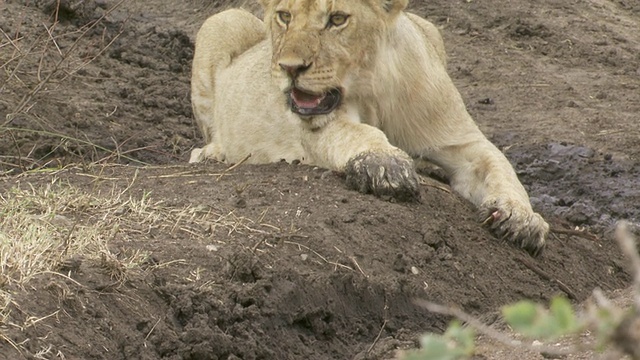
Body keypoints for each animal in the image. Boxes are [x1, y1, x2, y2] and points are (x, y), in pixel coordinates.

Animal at [189, 0, 552, 256]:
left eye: (337, 19)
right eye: (284, 16)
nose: (289, 68)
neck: (375, 89)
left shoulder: (462, 140)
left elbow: (501, 167)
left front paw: (521, 218)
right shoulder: (319, 124)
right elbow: (360, 133)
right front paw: (387, 166)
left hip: (432, 28)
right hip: (222, 21)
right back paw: (210, 154)